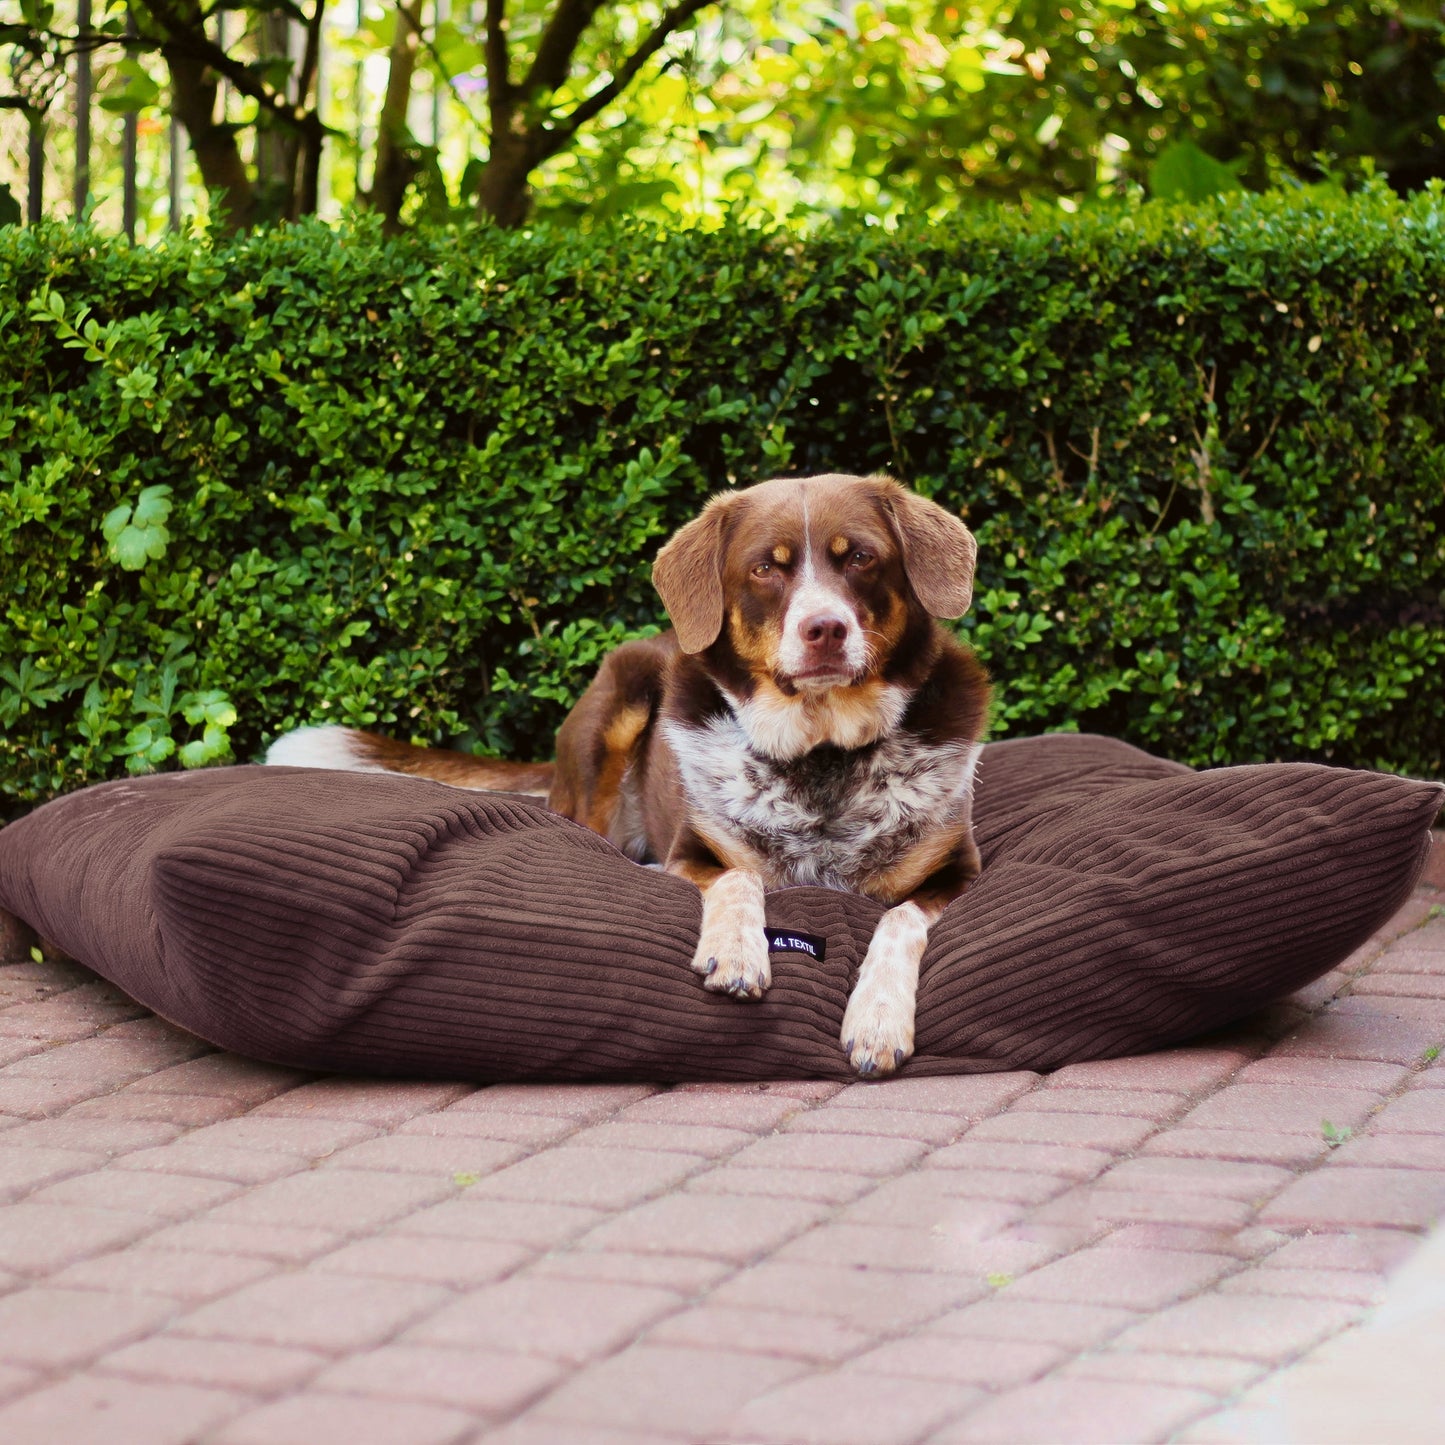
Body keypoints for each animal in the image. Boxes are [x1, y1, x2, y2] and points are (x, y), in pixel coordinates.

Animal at [268, 473, 994, 1075]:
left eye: (862, 559)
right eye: (766, 567)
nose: (825, 628)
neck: (820, 754)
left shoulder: (958, 872)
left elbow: (898, 918)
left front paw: (876, 1019)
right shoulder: (694, 848)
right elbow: (736, 877)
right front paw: (737, 950)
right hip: (620, 699)